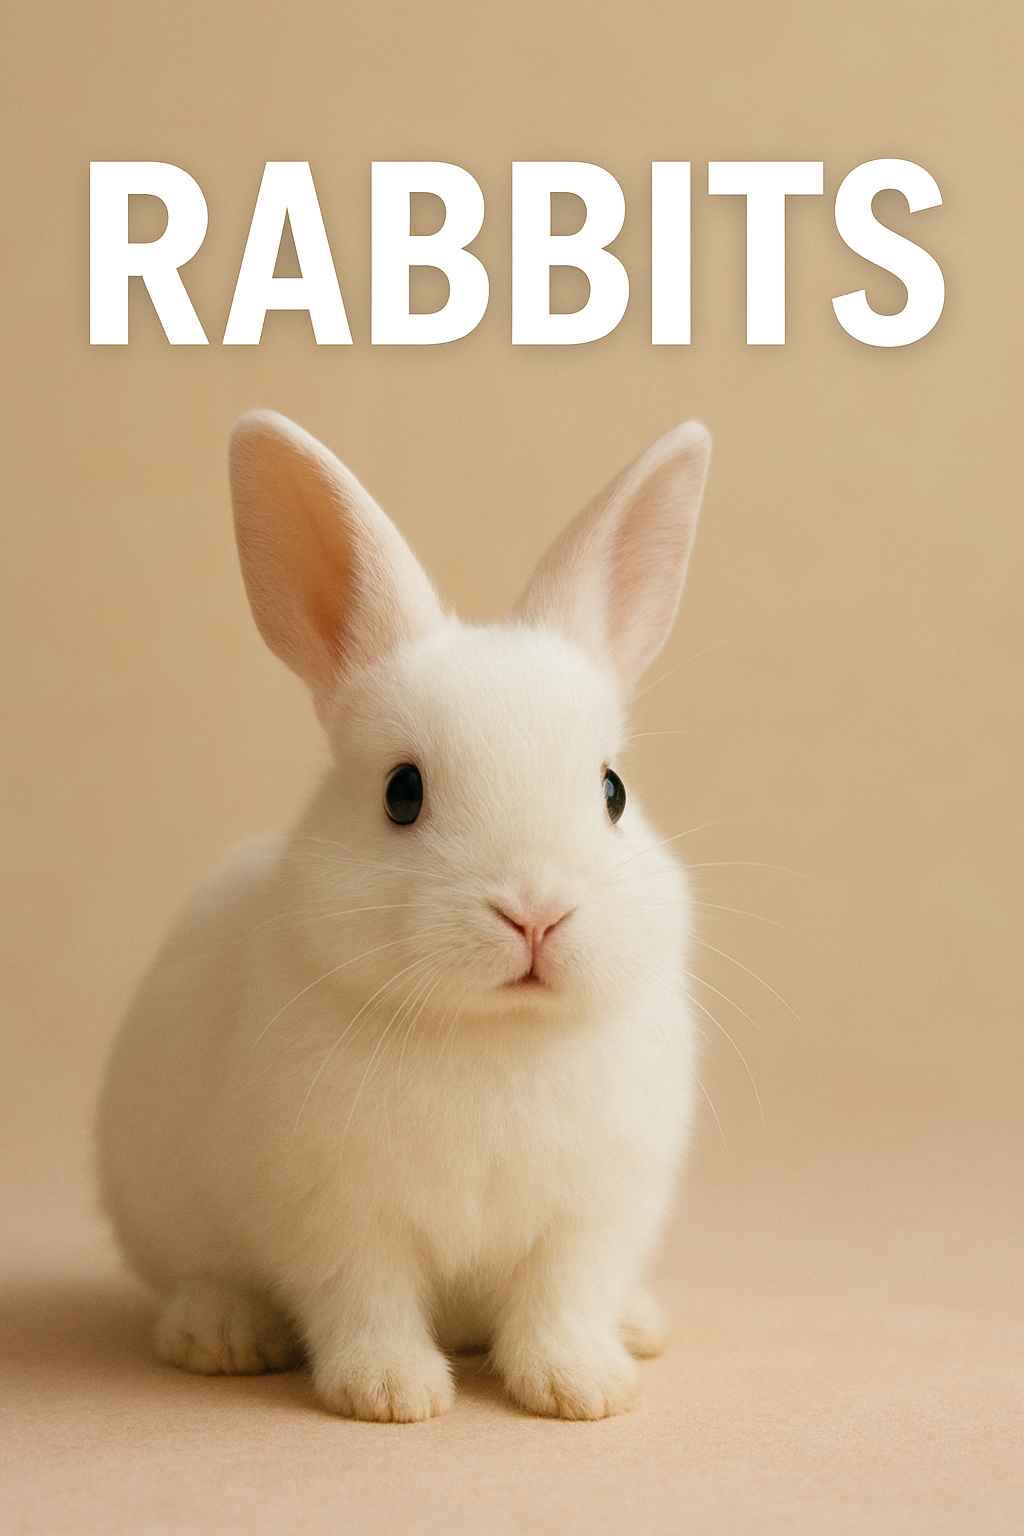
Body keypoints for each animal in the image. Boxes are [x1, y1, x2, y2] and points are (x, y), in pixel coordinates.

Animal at [97, 409, 711, 1422]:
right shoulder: (338, 1216)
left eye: (613, 791)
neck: (494, 1035)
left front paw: (581, 1387)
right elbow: (365, 1301)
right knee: (201, 1280)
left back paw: (638, 1327)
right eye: (402, 793)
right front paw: (390, 1395)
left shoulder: (591, 1218)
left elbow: (561, 1301)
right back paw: (220, 1336)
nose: (535, 914)